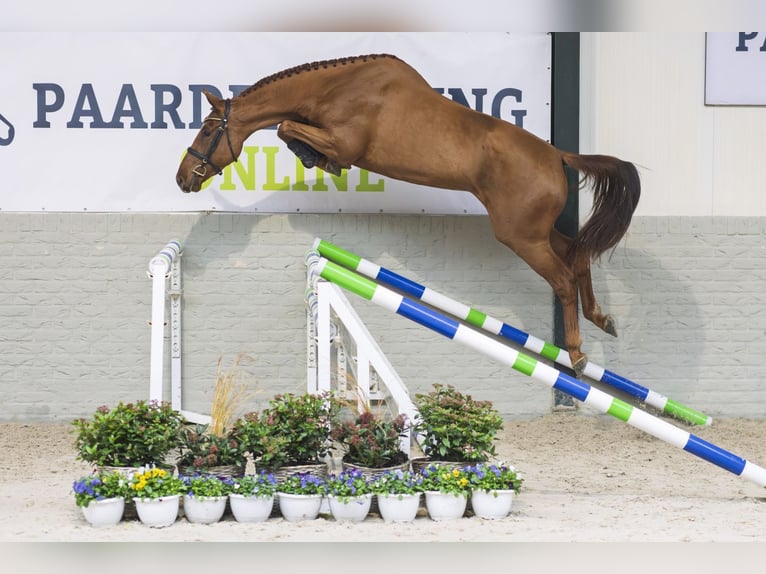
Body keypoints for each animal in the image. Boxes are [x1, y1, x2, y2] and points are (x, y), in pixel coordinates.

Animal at [177, 55, 640, 378]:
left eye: (207, 130)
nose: (183, 178)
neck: (337, 89)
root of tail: (557, 155)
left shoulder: (343, 141)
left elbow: (287, 127)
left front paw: (314, 157)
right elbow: (288, 127)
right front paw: (314, 158)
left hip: (521, 237)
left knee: (562, 279)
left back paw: (577, 356)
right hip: (537, 232)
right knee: (578, 255)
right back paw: (603, 319)